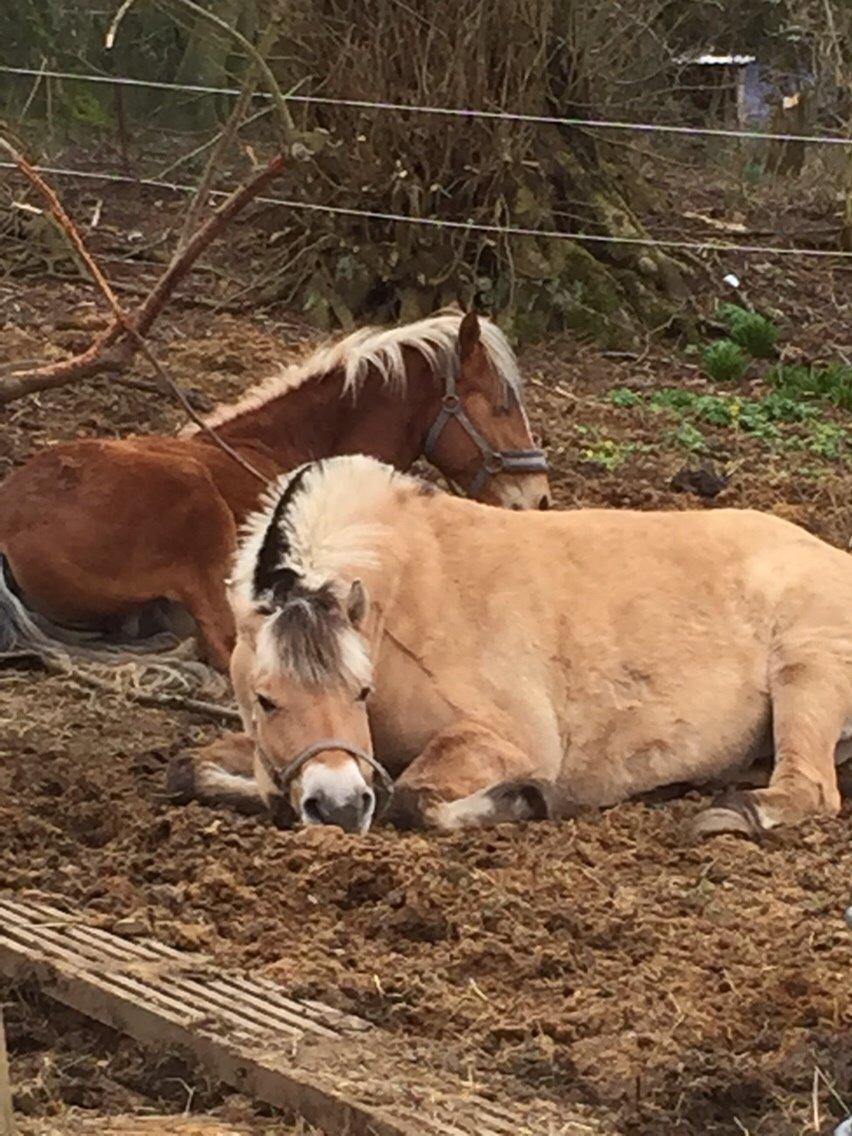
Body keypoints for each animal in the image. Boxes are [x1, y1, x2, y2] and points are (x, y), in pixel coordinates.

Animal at [171, 456, 852, 840]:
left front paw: (521, 800)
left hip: (808, 670)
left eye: (361, 690)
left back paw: (736, 814)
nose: (339, 806)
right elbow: (193, 767)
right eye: (266, 700)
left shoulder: (511, 740)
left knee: (813, 788)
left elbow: (413, 797)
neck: (404, 596)